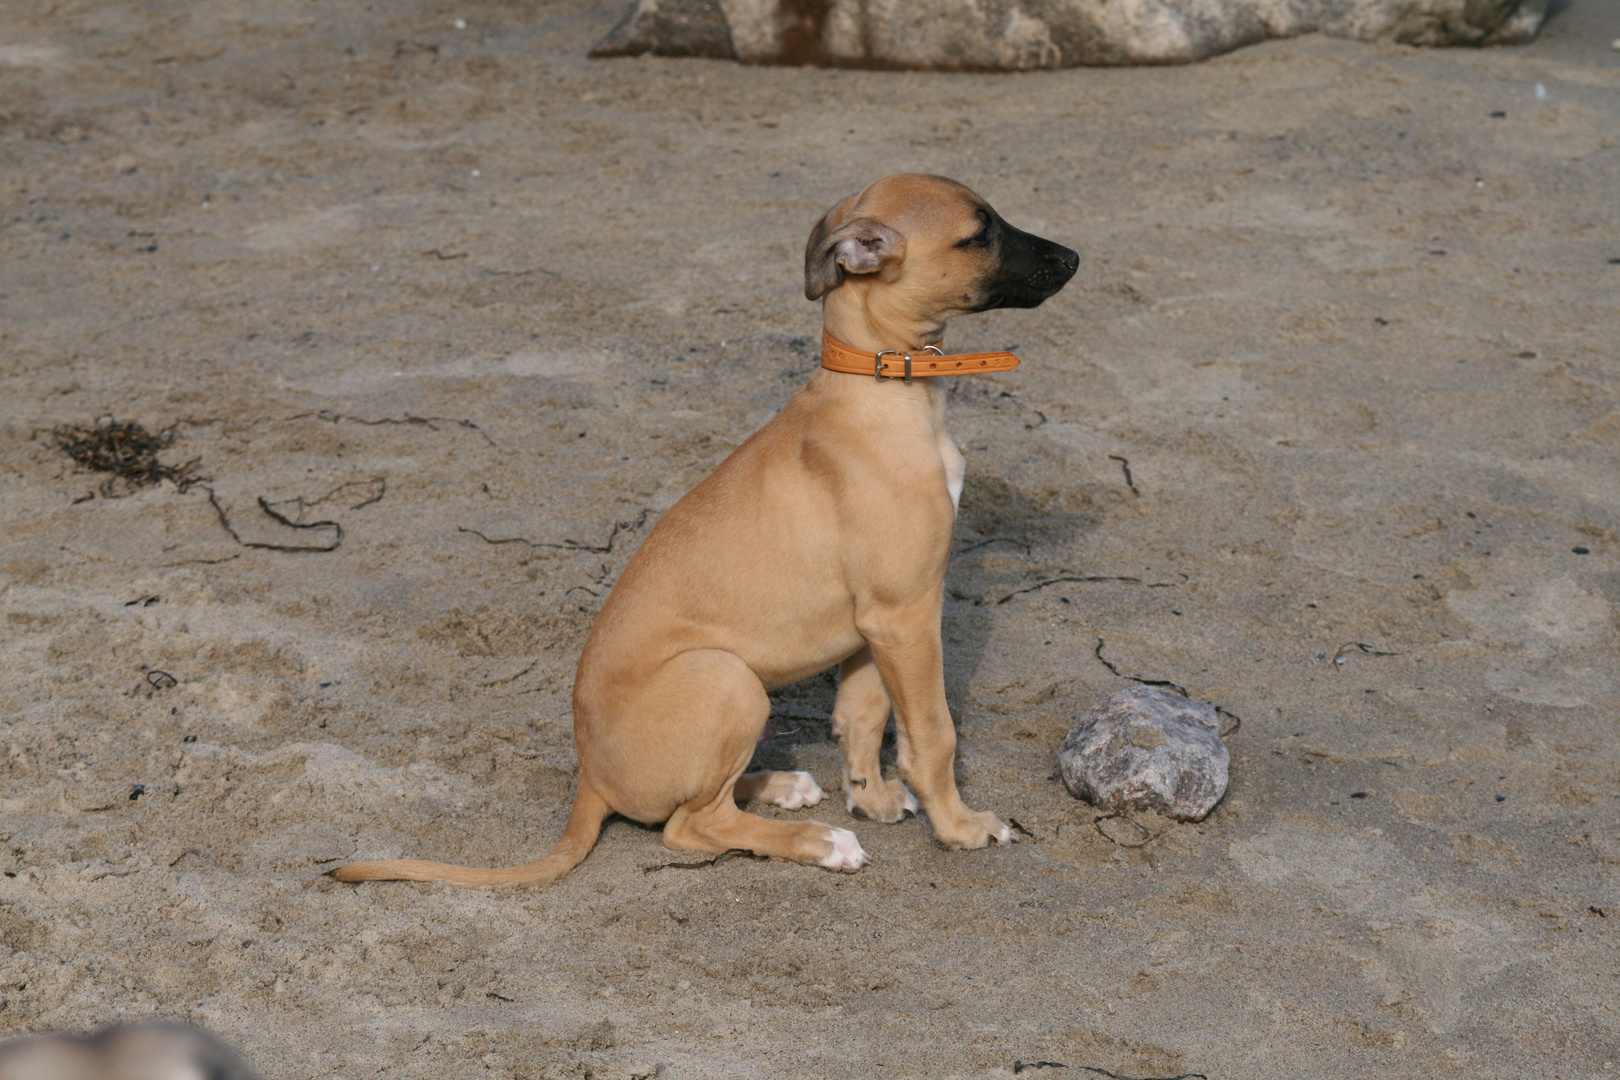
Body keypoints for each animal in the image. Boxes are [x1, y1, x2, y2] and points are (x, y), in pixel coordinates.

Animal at [332, 175, 1075, 887]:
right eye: (979, 233)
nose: (1074, 258)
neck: (886, 386)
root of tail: (590, 781)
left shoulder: (879, 621)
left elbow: (862, 717)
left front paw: (874, 798)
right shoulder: (907, 613)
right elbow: (933, 733)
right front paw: (960, 827)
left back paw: (782, 785)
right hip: (728, 678)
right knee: (688, 825)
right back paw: (820, 841)